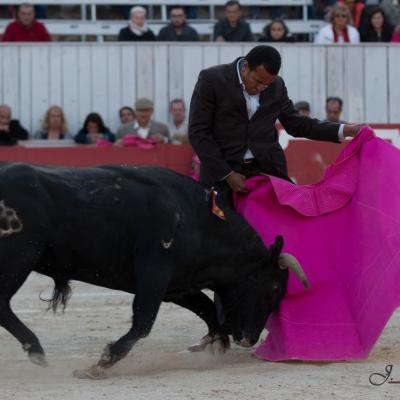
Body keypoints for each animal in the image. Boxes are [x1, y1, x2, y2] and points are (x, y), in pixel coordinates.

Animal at [0, 162, 308, 378]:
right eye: (274, 289)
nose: (249, 339)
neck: (196, 220)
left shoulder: (178, 285)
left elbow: (207, 308)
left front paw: (217, 345)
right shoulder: (155, 274)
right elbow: (144, 321)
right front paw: (101, 364)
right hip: (18, 258)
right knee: (2, 305)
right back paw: (36, 351)